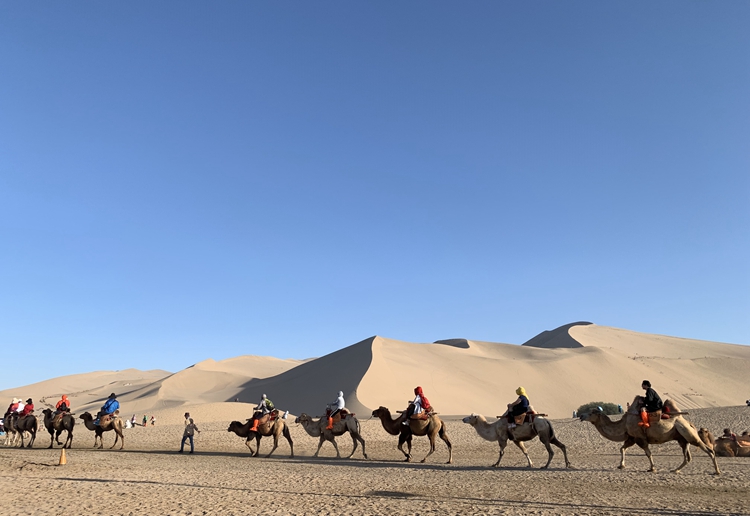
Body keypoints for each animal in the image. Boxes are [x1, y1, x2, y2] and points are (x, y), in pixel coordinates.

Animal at [581, 398, 719, 474]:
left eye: (592, 412)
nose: (581, 416)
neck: (623, 424)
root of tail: (690, 423)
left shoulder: (639, 438)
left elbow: (648, 453)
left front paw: (652, 468)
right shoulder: (631, 438)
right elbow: (622, 448)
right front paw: (621, 465)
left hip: (688, 433)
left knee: (708, 450)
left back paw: (717, 471)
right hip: (682, 438)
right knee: (687, 457)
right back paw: (675, 470)